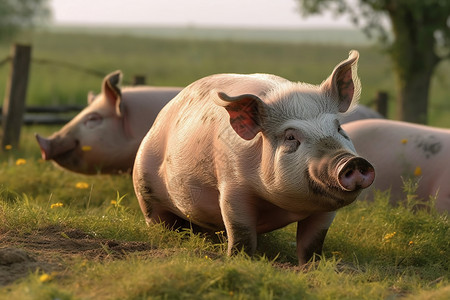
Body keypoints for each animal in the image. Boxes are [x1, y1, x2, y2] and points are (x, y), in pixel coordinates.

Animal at [133, 50, 376, 264]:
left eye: (338, 128)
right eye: (290, 137)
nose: (351, 160)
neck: (284, 207)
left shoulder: (326, 210)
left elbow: (313, 243)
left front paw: (311, 267)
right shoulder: (232, 186)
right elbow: (241, 233)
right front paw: (238, 260)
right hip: (144, 187)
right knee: (159, 221)